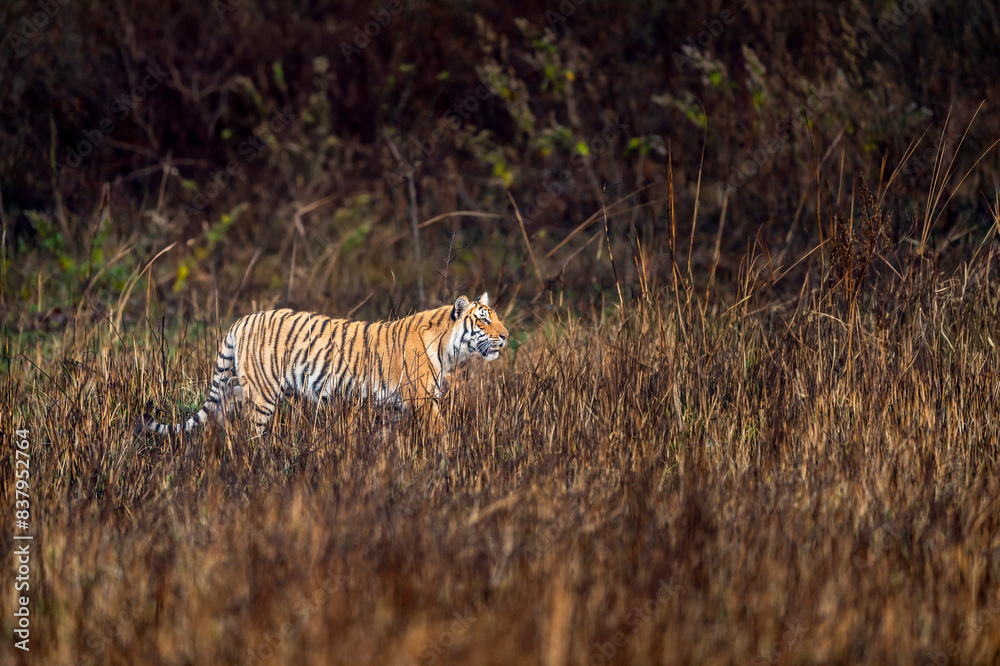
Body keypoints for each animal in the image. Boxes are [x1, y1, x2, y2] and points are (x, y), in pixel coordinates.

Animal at [143, 290, 508, 436]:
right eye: (484, 320)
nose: (505, 336)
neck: (449, 349)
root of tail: (243, 319)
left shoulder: (393, 405)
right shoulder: (421, 399)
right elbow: (441, 432)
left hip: (242, 385)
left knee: (222, 409)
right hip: (262, 394)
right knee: (251, 430)